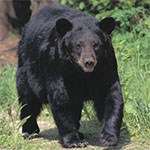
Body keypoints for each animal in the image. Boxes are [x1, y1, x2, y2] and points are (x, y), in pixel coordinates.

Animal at [16, 3, 123, 148]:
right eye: (78, 45)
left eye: (96, 44)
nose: (89, 62)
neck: (81, 73)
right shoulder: (57, 66)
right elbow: (61, 98)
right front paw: (73, 141)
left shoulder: (106, 66)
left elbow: (111, 95)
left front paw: (109, 137)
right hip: (27, 69)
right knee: (28, 100)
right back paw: (30, 131)